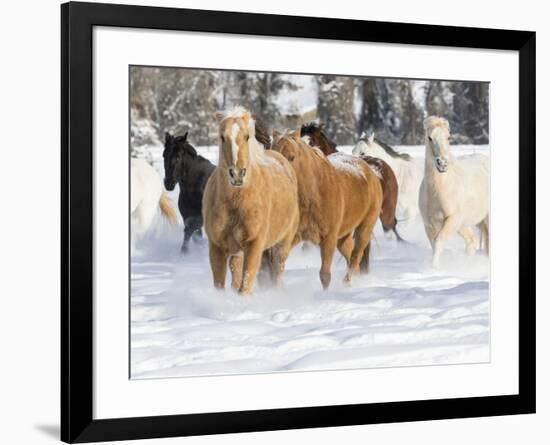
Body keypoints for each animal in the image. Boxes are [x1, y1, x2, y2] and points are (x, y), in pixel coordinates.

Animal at [203, 108, 300, 294]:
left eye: (247, 136)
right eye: (222, 137)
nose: (237, 174)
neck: (236, 202)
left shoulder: (254, 245)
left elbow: (245, 286)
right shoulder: (217, 248)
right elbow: (221, 285)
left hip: (282, 244)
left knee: (277, 273)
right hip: (239, 252)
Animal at [272, 129, 384, 288]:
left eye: (291, 157)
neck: (314, 194)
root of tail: (371, 172)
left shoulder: (328, 238)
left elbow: (325, 275)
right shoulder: (294, 236)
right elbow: (278, 265)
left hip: (364, 228)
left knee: (356, 257)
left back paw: (346, 284)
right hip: (343, 237)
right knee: (351, 256)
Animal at [418, 116, 492, 266]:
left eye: (448, 137)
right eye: (429, 138)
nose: (442, 164)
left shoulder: (452, 219)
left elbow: (439, 242)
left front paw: (433, 267)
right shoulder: (429, 224)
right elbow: (434, 245)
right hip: (466, 224)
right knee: (472, 242)